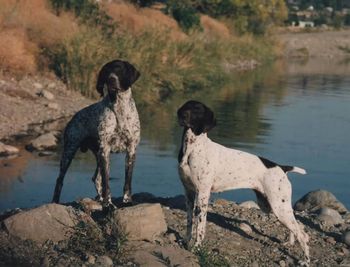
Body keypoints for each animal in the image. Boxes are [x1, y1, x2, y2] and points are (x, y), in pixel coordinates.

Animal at [52, 59, 139, 208]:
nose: (111, 79)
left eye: (120, 69)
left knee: (96, 178)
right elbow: (106, 183)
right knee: (59, 180)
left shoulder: (131, 150)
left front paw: (127, 201)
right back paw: (55, 202)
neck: (119, 107)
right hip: (69, 151)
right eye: (106, 71)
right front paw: (108, 204)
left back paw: (100, 198)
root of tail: (74, 117)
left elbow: (127, 181)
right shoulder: (105, 150)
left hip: (97, 155)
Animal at [178, 101, 308, 266]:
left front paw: (196, 248)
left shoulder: (202, 195)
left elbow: (199, 227)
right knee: (297, 228)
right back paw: (290, 243)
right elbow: (189, 224)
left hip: (279, 207)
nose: (182, 115)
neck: (192, 149)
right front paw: (186, 242)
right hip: (272, 206)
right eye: (186, 106)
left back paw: (305, 260)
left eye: (197, 110)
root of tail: (281, 168)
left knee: (303, 235)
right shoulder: (188, 194)